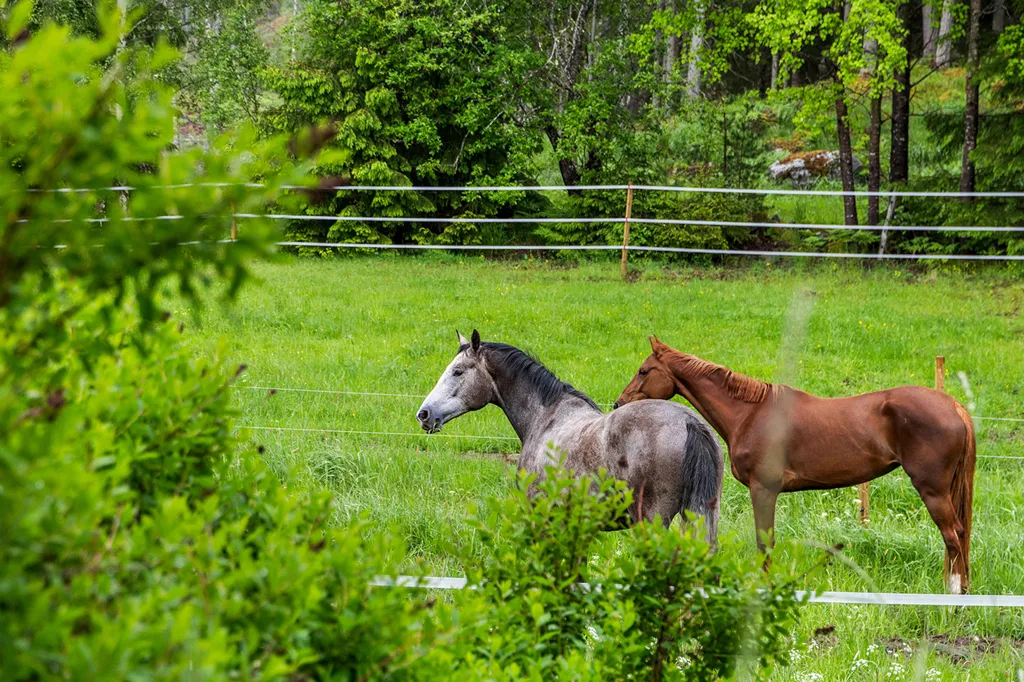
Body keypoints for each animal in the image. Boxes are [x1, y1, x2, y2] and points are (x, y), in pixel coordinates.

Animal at [614, 336, 976, 594]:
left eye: (643, 370)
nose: (618, 403)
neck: (751, 414)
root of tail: (954, 406)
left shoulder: (763, 490)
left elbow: (764, 542)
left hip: (932, 490)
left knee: (953, 536)